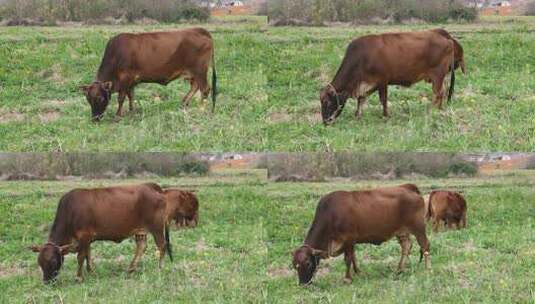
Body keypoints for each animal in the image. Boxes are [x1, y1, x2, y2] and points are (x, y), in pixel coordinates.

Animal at [28, 182, 172, 284]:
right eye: (39, 262)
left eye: (53, 261)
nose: (47, 282)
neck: (70, 212)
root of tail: (150, 186)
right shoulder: (87, 239)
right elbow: (88, 255)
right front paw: (91, 272)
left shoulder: (84, 236)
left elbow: (80, 257)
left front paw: (79, 277)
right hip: (140, 231)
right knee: (142, 246)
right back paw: (130, 269)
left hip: (156, 227)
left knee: (162, 246)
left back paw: (159, 268)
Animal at [80, 27, 218, 121]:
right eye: (88, 99)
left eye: (100, 98)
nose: (95, 119)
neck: (116, 55)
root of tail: (198, 30)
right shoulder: (131, 81)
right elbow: (131, 96)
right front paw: (131, 111)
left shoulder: (125, 79)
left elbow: (121, 98)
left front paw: (118, 115)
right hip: (193, 73)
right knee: (195, 86)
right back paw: (184, 103)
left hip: (200, 70)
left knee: (205, 89)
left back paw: (201, 109)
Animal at [294, 184, 432, 286]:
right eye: (294, 265)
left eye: (308, 263)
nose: (303, 284)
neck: (331, 215)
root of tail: (407, 187)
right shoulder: (351, 241)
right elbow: (353, 257)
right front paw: (357, 272)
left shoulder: (348, 239)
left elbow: (348, 259)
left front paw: (347, 279)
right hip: (402, 232)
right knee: (406, 246)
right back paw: (399, 269)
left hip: (419, 228)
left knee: (425, 246)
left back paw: (427, 270)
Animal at [320, 28, 466, 123]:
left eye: (327, 102)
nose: (325, 122)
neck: (362, 58)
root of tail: (444, 36)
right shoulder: (368, 84)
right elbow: (361, 99)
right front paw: (358, 115)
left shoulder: (382, 80)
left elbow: (383, 100)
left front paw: (385, 116)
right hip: (442, 76)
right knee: (444, 91)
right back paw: (439, 109)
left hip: (438, 75)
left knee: (437, 93)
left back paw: (431, 111)